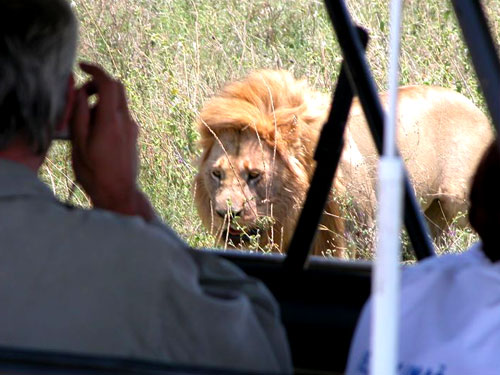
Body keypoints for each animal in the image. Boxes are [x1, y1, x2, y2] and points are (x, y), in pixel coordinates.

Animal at [193, 70, 494, 258]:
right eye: (217, 174)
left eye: (254, 174)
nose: (225, 214)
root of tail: (475, 108)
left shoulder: (356, 231)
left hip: (455, 202)